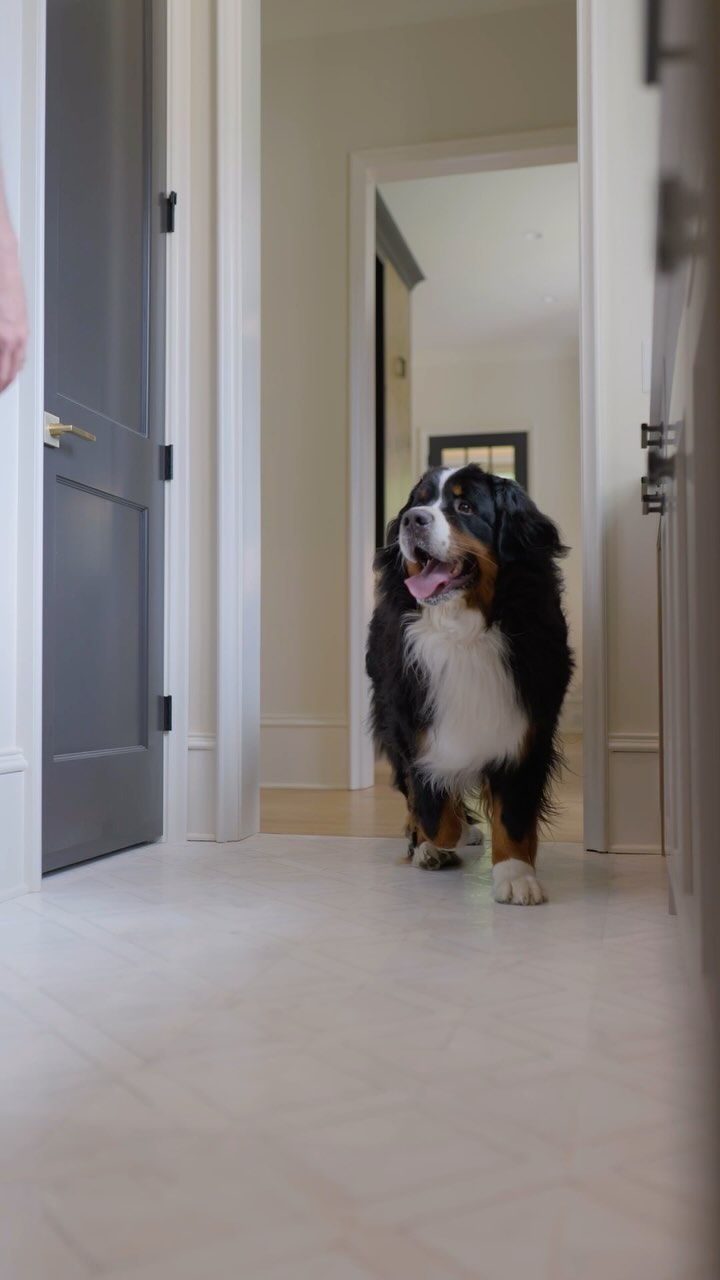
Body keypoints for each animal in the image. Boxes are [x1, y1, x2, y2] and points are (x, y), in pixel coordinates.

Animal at [363, 465, 571, 906]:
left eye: (465, 507)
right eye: (418, 502)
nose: (412, 520)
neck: (463, 632)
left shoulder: (527, 724)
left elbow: (513, 812)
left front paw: (515, 873)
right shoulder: (412, 723)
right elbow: (435, 810)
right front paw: (440, 839)